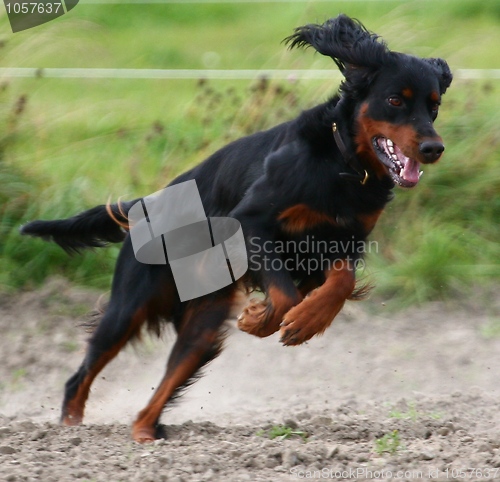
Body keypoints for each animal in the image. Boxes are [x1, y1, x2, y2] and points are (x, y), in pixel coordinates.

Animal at [19, 14, 452, 444]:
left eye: (434, 106)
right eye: (395, 100)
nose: (433, 148)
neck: (344, 165)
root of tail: (148, 204)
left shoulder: (343, 242)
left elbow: (339, 282)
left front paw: (302, 320)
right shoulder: (250, 222)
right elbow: (284, 293)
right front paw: (265, 320)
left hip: (202, 326)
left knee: (165, 382)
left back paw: (144, 434)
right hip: (129, 306)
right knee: (80, 375)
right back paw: (69, 432)